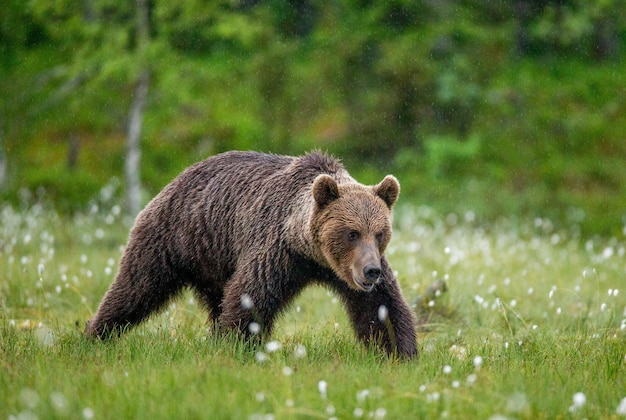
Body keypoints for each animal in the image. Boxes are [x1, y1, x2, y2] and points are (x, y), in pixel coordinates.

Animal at [83, 151, 414, 358]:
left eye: (380, 233)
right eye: (351, 233)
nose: (370, 271)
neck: (311, 255)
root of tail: (175, 179)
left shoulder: (345, 271)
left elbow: (380, 305)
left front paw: (399, 352)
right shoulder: (277, 251)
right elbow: (250, 296)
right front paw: (238, 344)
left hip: (213, 261)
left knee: (215, 300)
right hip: (172, 239)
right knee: (136, 286)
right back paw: (96, 332)